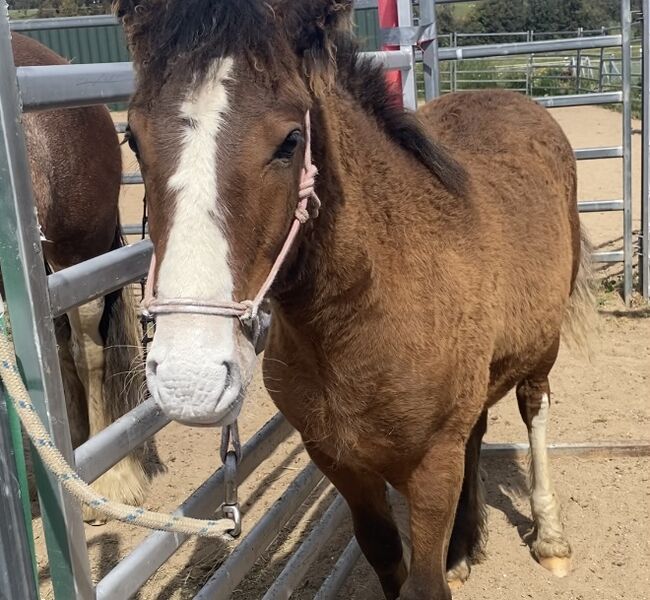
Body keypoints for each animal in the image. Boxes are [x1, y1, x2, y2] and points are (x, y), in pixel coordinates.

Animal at [115, 2, 592, 596]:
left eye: (290, 141)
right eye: (133, 139)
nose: (190, 380)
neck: (359, 320)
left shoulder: (432, 465)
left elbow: (425, 581)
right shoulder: (340, 462)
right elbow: (385, 554)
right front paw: (455, 551)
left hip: (542, 350)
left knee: (535, 410)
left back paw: (551, 538)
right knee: (479, 429)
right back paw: (465, 546)